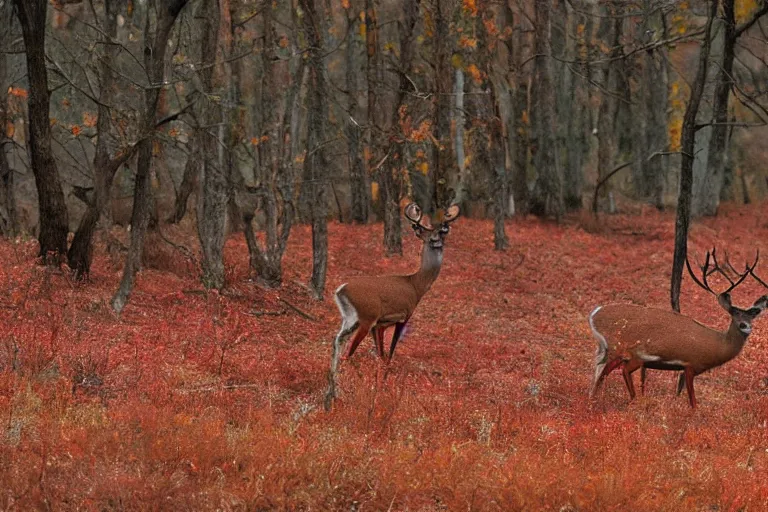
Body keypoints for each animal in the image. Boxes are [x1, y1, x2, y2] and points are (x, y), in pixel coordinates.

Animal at [322, 202, 460, 410]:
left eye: (441, 232)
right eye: (428, 234)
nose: (437, 238)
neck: (416, 285)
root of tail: (340, 290)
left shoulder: (380, 325)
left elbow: (381, 354)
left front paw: (381, 382)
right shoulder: (403, 316)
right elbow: (390, 353)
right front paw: (384, 384)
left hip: (350, 319)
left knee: (337, 341)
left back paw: (332, 390)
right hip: (366, 316)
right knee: (348, 352)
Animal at [592, 249, 764, 408]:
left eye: (752, 316)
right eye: (735, 314)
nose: (745, 326)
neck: (718, 347)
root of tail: (594, 315)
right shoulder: (691, 364)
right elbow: (693, 401)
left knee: (603, 370)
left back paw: (594, 399)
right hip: (632, 352)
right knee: (619, 370)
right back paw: (632, 401)